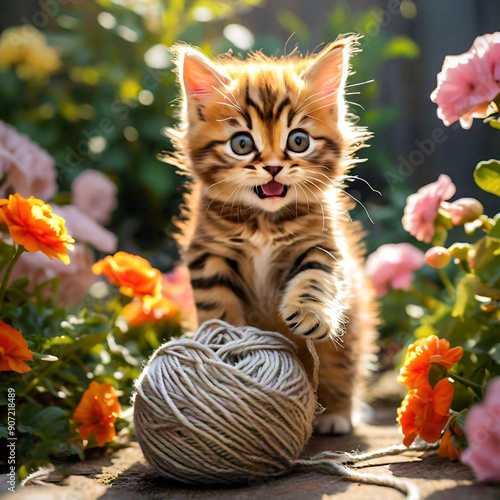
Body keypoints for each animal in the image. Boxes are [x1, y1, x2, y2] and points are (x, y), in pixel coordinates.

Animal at [170, 36, 376, 434]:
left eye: (298, 141)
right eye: (241, 144)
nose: (273, 167)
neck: (263, 224)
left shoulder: (323, 247)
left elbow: (314, 280)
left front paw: (309, 313)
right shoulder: (208, 255)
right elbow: (219, 310)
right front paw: (226, 344)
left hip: (352, 332)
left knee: (344, 368)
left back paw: (338, 414)